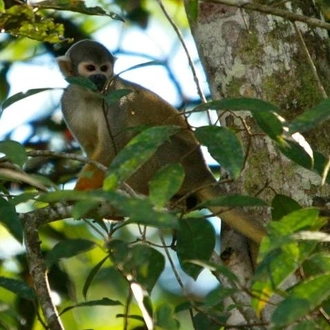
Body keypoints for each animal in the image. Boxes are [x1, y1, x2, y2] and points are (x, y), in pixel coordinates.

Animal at [58, 40, 266, 244]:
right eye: (90, 68)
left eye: (104, 68)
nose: (100, 78)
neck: (89, 96)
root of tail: (203, 173)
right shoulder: (67, 102)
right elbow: (92, 149)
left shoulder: (116, 102)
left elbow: (110, 151)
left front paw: (79, 193)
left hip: (180, 163)